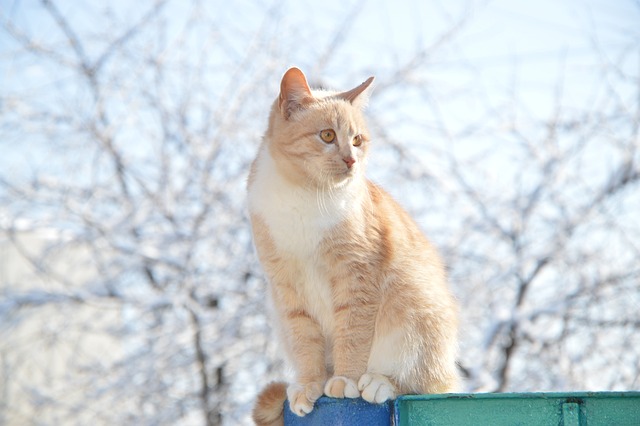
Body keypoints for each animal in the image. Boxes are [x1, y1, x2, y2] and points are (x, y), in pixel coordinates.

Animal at [246, 68, 460, 424]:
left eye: (357, 140)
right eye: (327, 136)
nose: (351, 160)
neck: (303, 195)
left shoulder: (357, 275)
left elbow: (353, 333)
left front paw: (345, 379)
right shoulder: (286, 288)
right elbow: (305, 342)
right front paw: (310, 384)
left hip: (416, 308)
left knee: (426, 384)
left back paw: (378, 382)